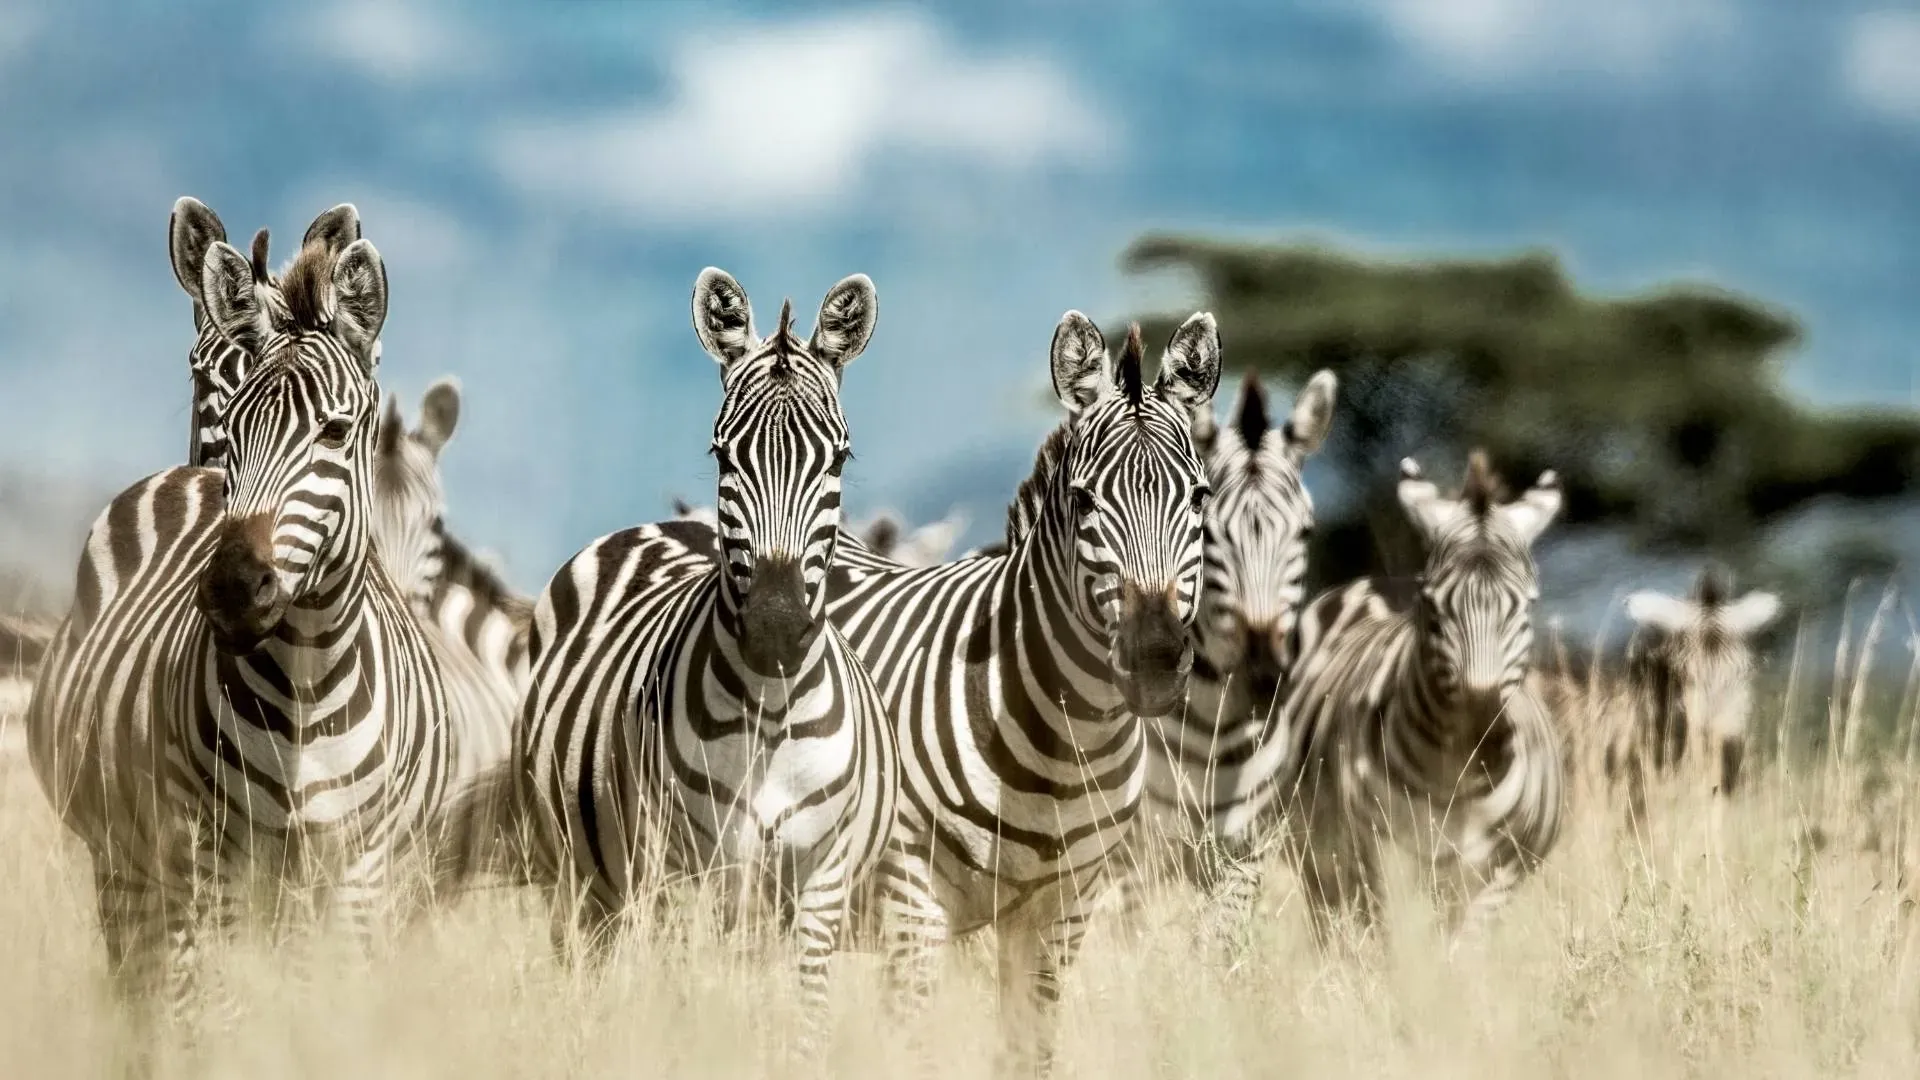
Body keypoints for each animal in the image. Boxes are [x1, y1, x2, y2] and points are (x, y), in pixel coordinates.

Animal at [25, 234, 451, 1034]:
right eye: (241, 427)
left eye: (336, 431)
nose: (228, 587)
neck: (308, 687)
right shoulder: (212, 864)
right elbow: (217, 1017)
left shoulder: (358, 873)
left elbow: (323, 1013)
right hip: (126, 860)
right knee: (144, 984)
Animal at [515, 269, 898, 1053]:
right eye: (724, 455)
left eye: (839, 458)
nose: (777, 626)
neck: (772, 718)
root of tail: (665, 523)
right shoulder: (689, 876)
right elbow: (696, 1014)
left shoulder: (819, 883)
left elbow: (803, 1023)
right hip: (577, 879)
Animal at [826, 312, 1220, 1076]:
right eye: (1085, 500)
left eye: (1199, 497)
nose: (1155, 659)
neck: (1065, 744)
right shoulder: (911, 902)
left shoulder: (1063, 911)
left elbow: (1028, 1048)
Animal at [1112, 368, 1337, 943]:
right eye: (1209, 534)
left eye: (1306, 531)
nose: (1262, 673)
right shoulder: (1133, 859)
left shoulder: (1244, 853)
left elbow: (1219, 944)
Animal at [1282, 449, 1563, 950]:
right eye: (1433, 604)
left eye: (1526, 605)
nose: (1481, 726)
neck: (1456, 783)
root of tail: (1374, 582)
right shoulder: (1381, 859)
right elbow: (1401, 950)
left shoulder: (1499, 872)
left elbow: (1462, 951)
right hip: (1320, 853)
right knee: (1333, 922)